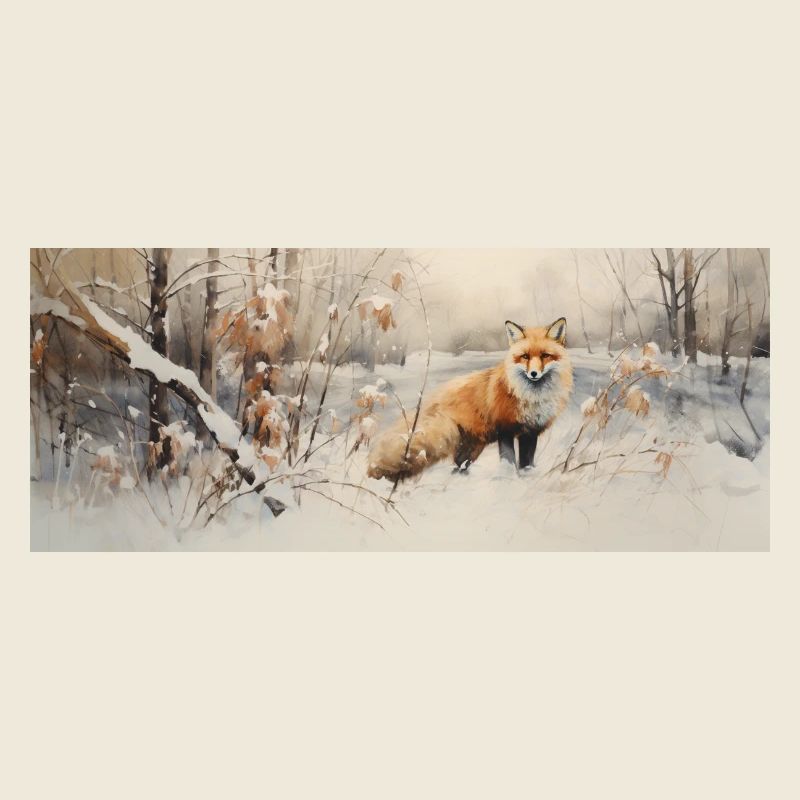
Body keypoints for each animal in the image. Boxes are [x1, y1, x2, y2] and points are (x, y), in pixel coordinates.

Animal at [367, 317, 573, 481]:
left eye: (545, 356)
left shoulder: (530, 432)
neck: (532, 398)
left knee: (459, 465)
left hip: (471, 448)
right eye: (525, 356)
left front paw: (527, 475)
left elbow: (526, 462)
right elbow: (508, 460)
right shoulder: (505, 429)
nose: (533, 374)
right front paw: (507, 479)